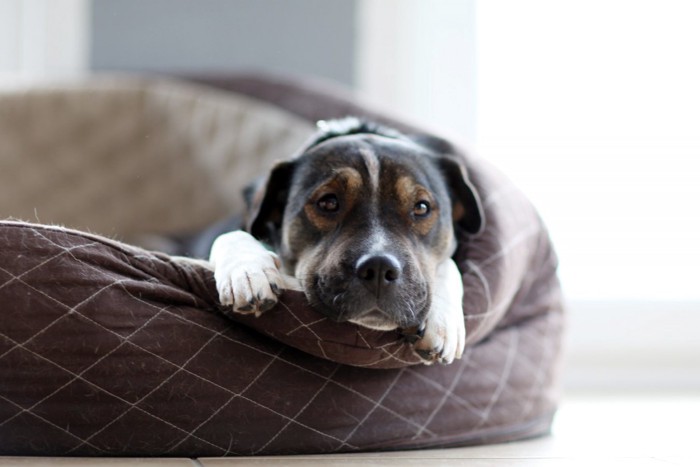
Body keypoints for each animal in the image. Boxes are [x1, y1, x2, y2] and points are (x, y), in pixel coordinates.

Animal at [206, 119, 482, 364]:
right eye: (328, 202)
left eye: (422, 207)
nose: (379, 267)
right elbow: (232, 236)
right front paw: (247, 272)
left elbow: (449, 265)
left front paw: (443, 319)